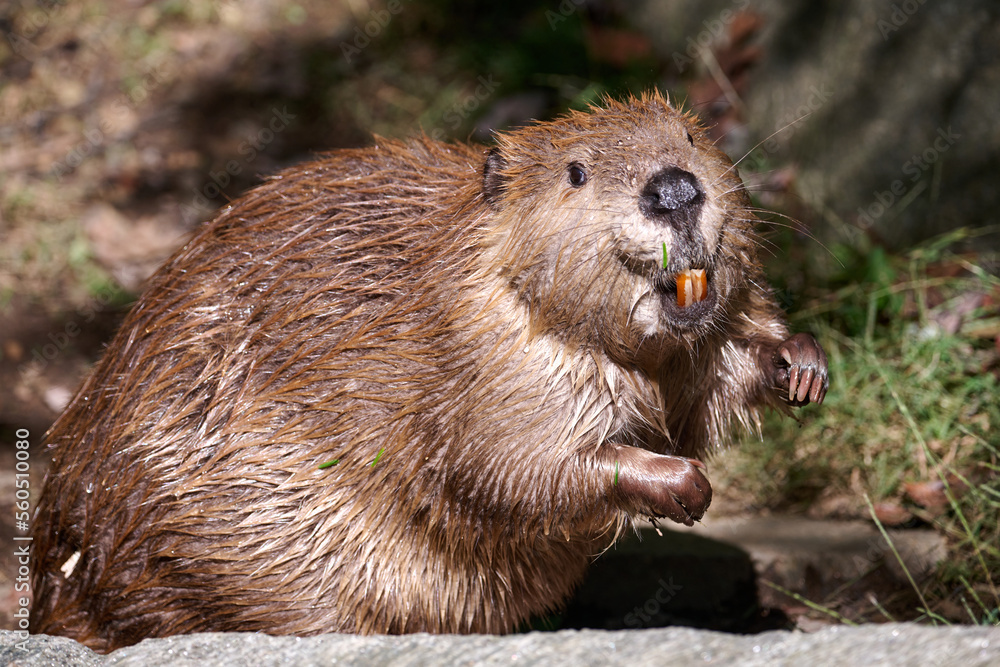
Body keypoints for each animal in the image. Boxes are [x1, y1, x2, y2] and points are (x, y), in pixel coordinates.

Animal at [30, 91, 827, 652]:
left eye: (690, 136)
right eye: (576, 172)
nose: (674, 191)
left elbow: (714, 377)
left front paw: (800, 364)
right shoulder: (481, 358)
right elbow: (504, 469)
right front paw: (685, 485)